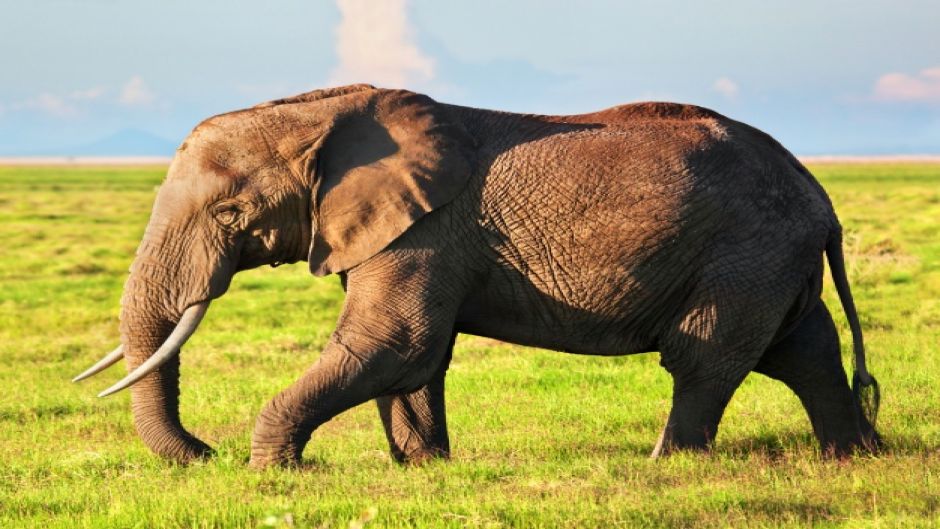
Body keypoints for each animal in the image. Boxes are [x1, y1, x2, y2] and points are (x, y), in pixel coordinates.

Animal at [73, 83, 881, 468]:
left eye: (231, 212)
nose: (203, 452)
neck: (325, 110)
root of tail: (821, 195)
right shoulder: (399, 230)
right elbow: (413, 357)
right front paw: (423, 468)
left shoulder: (425, 228)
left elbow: (393, 342)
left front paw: (274, 471)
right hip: (772, 259)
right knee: (805, 352)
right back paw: (853, 456)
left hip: (747, 253)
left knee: (704, 357)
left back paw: (665, 463)